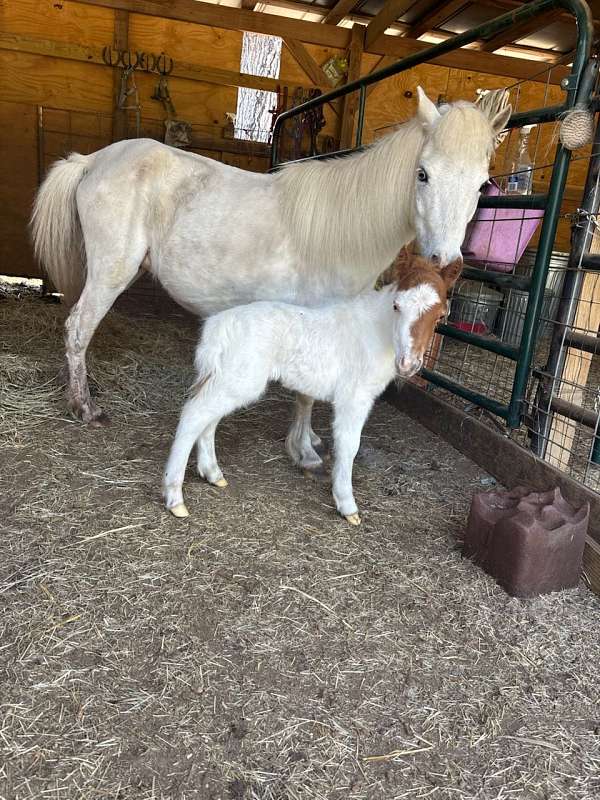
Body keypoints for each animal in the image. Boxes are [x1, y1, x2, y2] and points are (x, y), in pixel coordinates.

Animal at [30, 87, 510, 475]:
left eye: (481, 185)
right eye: (423, 173)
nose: (442, 260)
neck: (344, 229)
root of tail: (93, 161)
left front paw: (308, 441)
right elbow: (306, 393)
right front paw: (305, 451)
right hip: (110, 275)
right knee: (78, 330)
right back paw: (85, 406)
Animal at [163, 253, 463, 524]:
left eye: (440, 315)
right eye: (396, 306)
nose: (408, 363)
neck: (375, 333)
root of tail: (218, 324)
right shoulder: (354, 398)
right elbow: (349, 445)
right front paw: (347, 505)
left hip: (229, 380)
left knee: (208, 420)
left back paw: (213, 474)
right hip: (239, 381)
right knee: (194, 415)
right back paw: (175, 497)